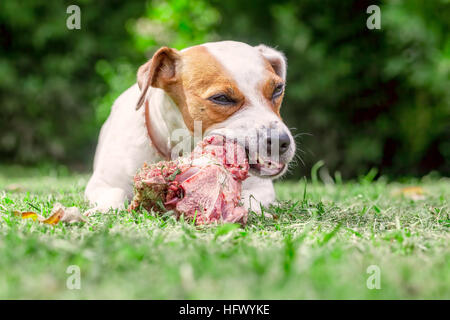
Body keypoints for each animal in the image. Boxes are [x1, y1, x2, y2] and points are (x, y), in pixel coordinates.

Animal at [84, 41, 296, 214]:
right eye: (221, 98)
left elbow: (248, 198)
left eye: (278, 89)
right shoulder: (102, 183)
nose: (280, 142)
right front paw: (104, 210)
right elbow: (114, 193)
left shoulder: (262, 187)